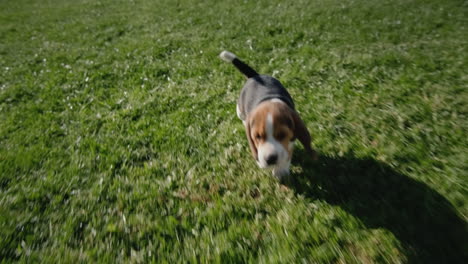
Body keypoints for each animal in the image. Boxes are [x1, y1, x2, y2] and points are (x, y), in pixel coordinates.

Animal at [220, 50, 318, 178]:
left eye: (282, 135)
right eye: (257, 136)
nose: (270, 159)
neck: (269, 101)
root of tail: (256, 75)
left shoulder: (290, 140)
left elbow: (287, 154)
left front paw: (280, 171)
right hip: (239, 110)